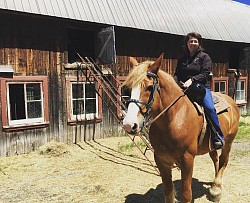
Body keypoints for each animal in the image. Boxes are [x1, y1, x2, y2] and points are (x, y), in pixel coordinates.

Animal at [122, 54, 239, 203]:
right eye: (128, 88)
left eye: (149, 87)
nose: (129, 124)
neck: (174, 119)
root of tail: (231, 101)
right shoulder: (161, 160)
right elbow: (168, 190)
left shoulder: (187, 160)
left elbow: (186, 194)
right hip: (211, 145)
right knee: (215, 158)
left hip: (228, 141)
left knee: (224, 159)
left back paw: (216, 189)